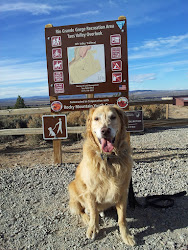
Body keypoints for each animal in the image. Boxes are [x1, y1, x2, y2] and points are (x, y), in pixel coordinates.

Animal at [68, 104, 134, 245]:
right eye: (96, 118)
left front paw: (126, 235)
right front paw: (93, 229)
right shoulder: (90, 192)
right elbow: (93, 212)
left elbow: (122, 219)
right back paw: (87, 218)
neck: (109, 159)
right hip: (73, 188)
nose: (105, 131)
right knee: (82, 211)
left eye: (113, 117)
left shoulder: (122, 192)